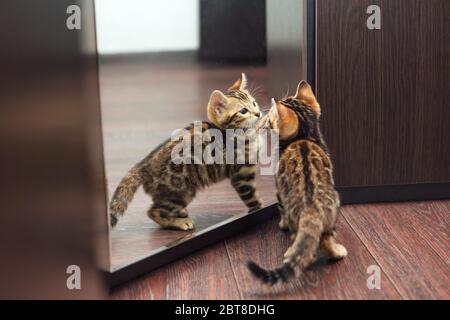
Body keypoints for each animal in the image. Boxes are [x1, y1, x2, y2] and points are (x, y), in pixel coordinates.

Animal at [109, 74, 264, 231]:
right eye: (243, 111)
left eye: (254, 103)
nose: (258, 113)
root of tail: (143, 165)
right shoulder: (241, 175)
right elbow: (252, 198)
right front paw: (260, 209)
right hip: (181, 192)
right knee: (153, 211)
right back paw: (178, 222)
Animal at [248, 80, 346, 284]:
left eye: (271, 118)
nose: (265, 116)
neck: (304, 136)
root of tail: (311, 208)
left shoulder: (279, 189)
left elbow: (280, 210)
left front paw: (281, 224)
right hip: (333, 209)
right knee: (326, 239)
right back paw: (337, 253)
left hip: (295, 216)